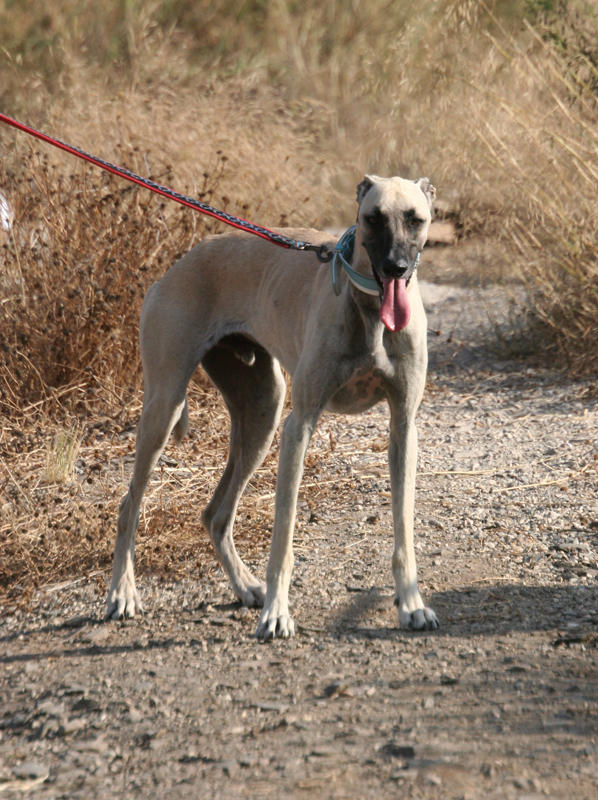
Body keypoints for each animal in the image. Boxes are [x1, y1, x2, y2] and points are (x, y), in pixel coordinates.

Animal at [105, 173, 440, 636]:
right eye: (373, 218)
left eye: (415, 218)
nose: (396, 268)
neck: (369, 310)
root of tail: (175, 268)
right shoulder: (300, 426)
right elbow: (283, 536)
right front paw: (278, 613)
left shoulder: (403, 425)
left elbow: (404, 527)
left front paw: (411, 603)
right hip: (165, 407)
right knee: (129, 506)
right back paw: (122, 592)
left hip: (261, 413)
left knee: (216, 514)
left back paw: (245, 585)